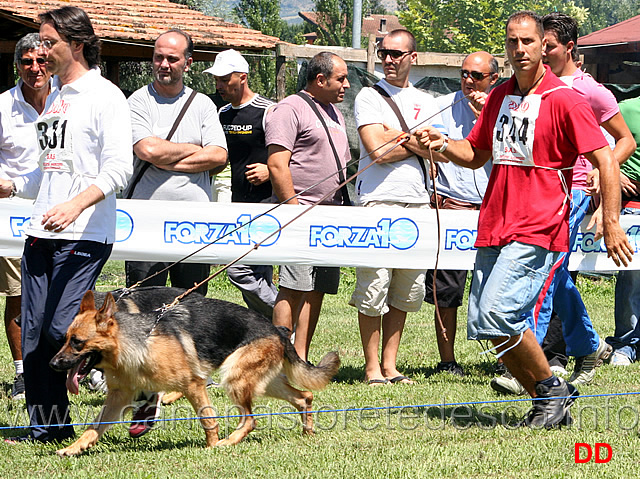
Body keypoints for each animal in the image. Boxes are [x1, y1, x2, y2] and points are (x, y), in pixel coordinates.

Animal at [50, 286, 340, 456]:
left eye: (77, 343)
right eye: (65, 339)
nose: (52, 364)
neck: (133, 343)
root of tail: (276, 330)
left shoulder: (193, 385)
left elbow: (208, 419)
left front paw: (211, 446)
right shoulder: (118, 397)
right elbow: (94, 426)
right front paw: (75, 447)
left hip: (234, 379)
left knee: (250, 419)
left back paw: (228, 442)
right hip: (261, 381)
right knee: (304, 397)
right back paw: (307, 432)